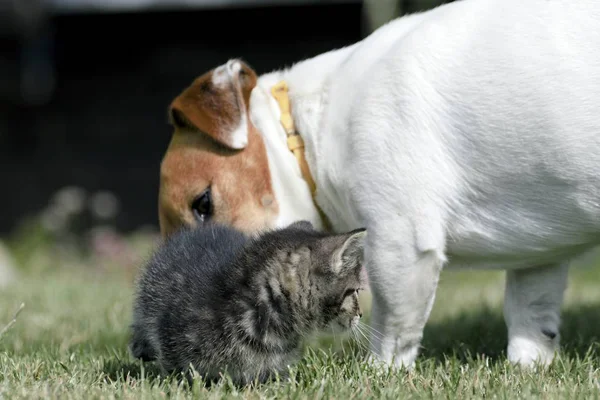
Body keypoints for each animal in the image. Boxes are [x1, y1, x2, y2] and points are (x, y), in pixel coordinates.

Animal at [158, 0, 600, 368]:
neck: (306, 134)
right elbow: (532, 317)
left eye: (203, 203)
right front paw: (527, 369)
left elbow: (391, 327)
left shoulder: (398, 240)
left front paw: (380, 374)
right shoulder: (538, 252)